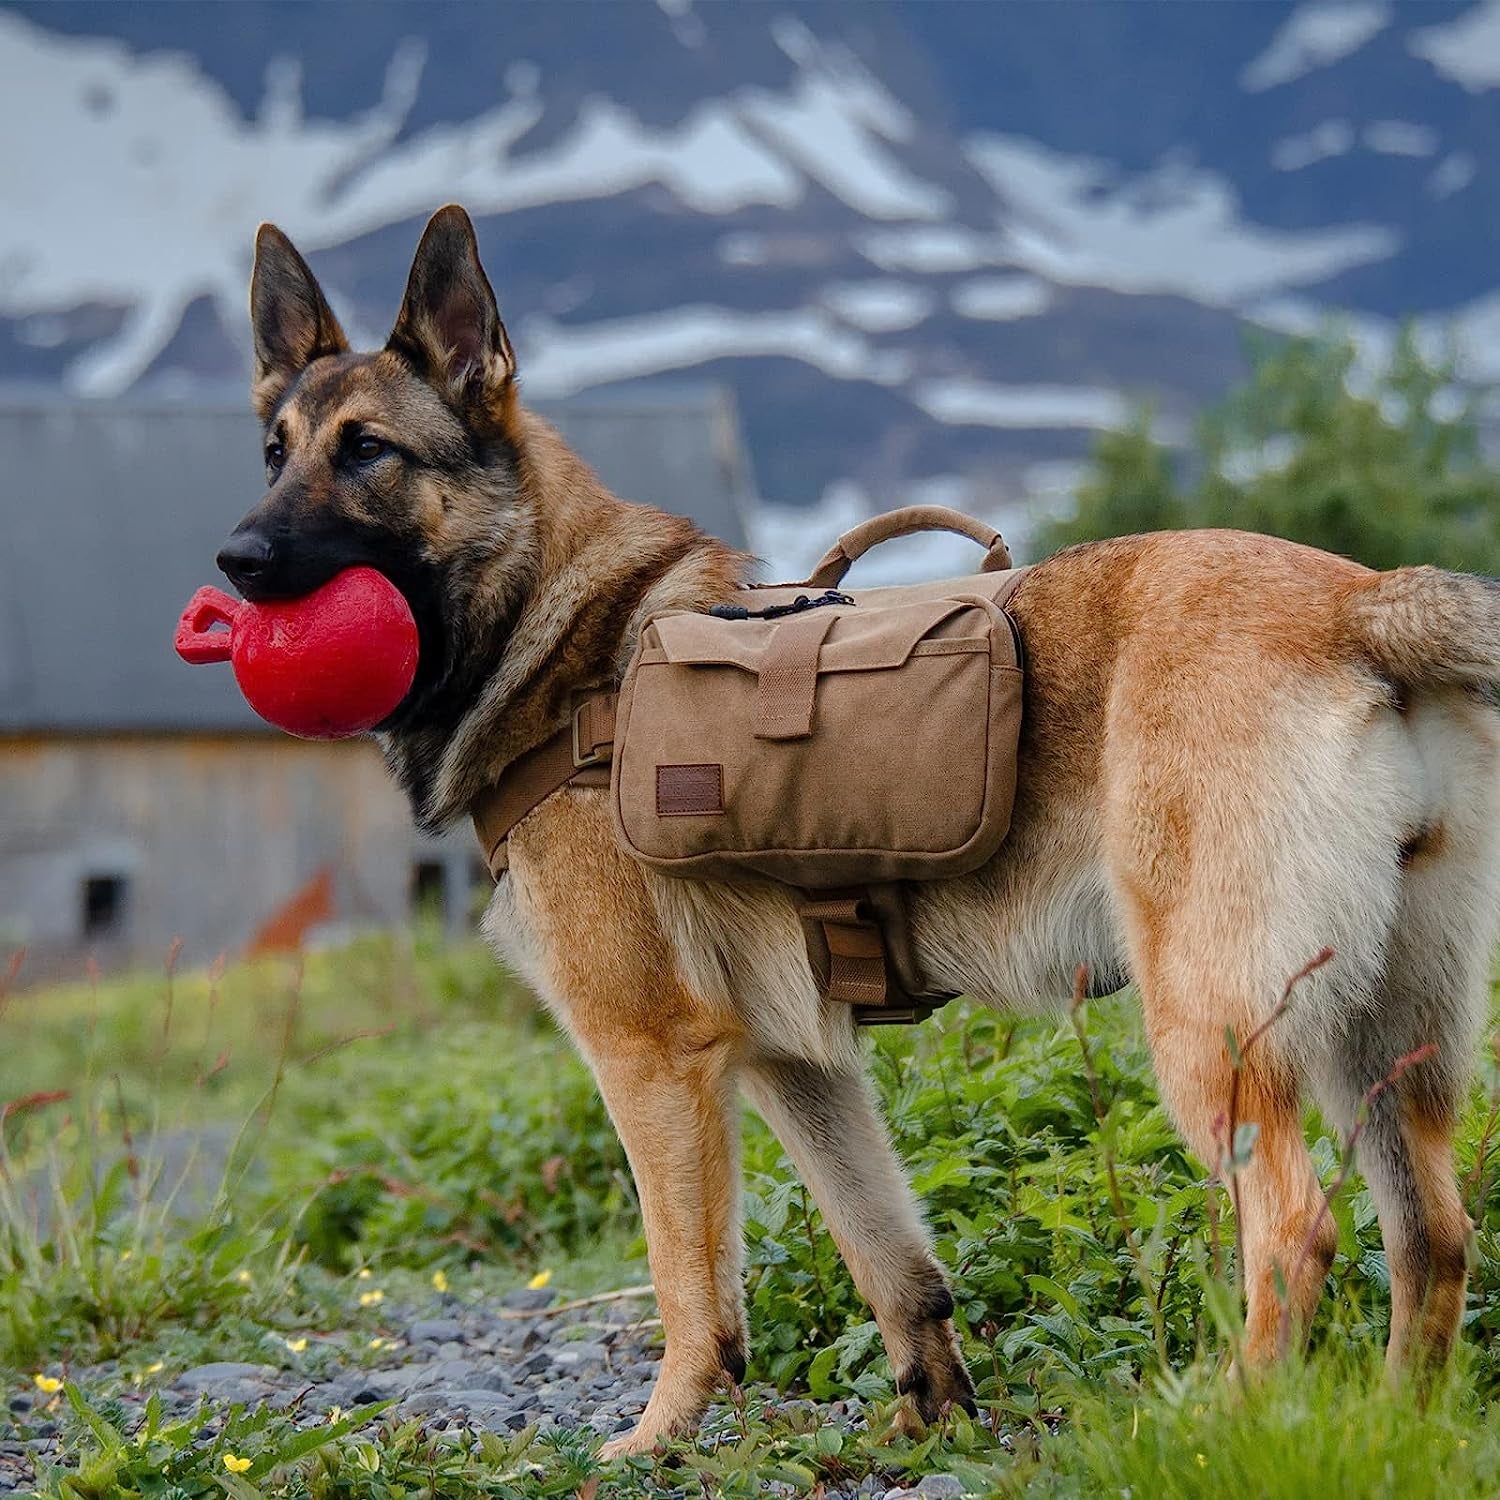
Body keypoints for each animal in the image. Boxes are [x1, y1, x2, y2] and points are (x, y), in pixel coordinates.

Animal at [222, 205, 1500, 1446]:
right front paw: (930, 1420)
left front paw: (662, 1434)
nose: (234, 559)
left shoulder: (651, 1058)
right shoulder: (801, 1066)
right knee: (1432, 1233)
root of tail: (1359, 601)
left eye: (369, 452)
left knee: (1294, 1228)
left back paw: (1228, 1422)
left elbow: (689, 1282)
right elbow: (890, 1257)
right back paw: (1400, 1426)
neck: (557, 641)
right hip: (1389, 1042)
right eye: (275, 453)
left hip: (1213, 1028)